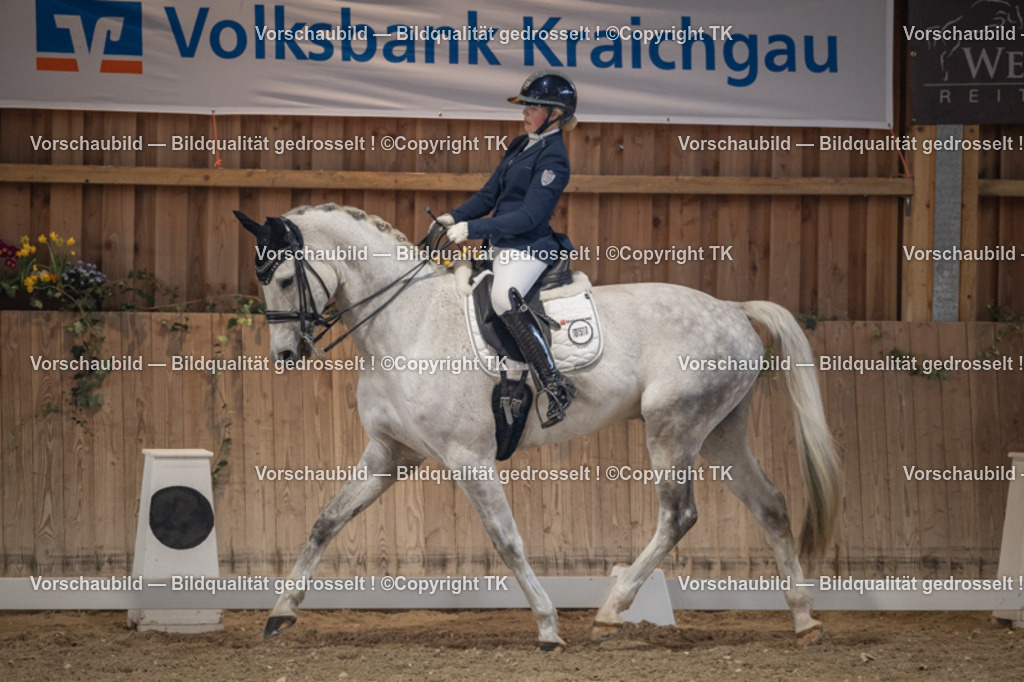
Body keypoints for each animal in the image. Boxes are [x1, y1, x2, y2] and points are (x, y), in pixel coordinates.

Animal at [235, 202, 841, 651]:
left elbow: (507, 540)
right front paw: (280, 612)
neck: (407, 325)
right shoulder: (390, 454)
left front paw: (549, 627)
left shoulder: (468, 458)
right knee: (770, 504)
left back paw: (610, 612)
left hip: (675, 428)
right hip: (719, 433)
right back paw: (804, 620)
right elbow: (326, 521)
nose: (286, 354)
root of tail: (734, 308)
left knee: (678, 516)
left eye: (284, 278)